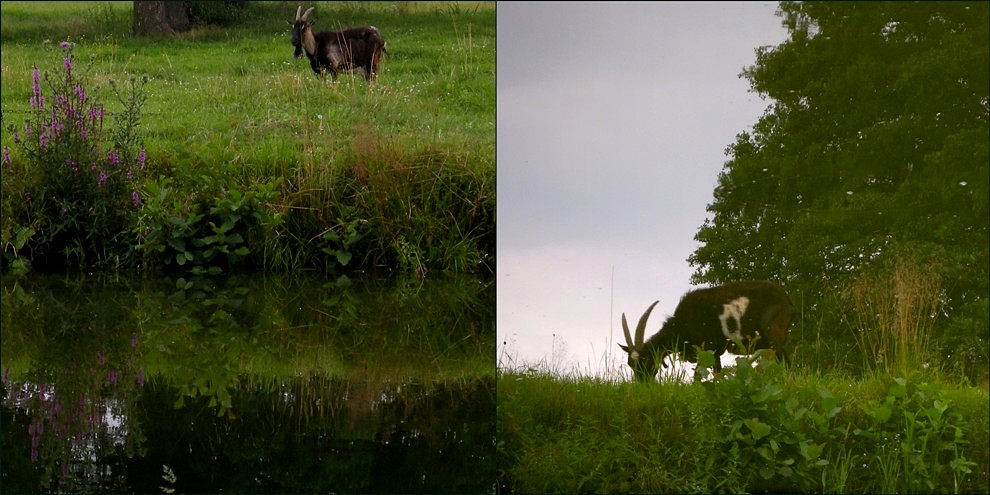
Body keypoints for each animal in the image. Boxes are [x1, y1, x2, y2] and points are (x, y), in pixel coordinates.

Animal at [620, 280, 800, 384]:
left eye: (645, 359)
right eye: (630, 364)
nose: (643, 383)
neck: (682, 323)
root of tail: (787, 300)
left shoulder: (709, 349)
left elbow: (698, 378)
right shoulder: (714, 353)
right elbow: (717, 374)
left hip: (773, 335)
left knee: (787, 364)